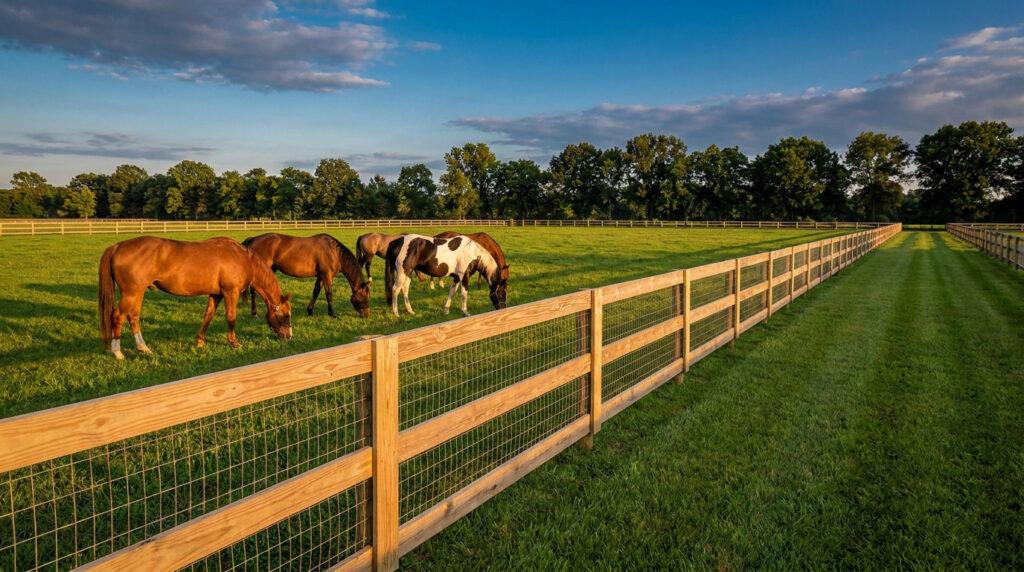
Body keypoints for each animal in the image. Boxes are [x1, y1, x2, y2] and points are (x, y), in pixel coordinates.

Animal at [98, 236, 292, 360]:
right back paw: (118, 353)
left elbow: (208, 316)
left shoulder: (216, 294)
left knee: (133, 317)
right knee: (118, 316)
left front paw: (199, 341)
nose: (289, 337)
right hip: (131, 293)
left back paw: (143, 348)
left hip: (138, 293)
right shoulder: (231, 292)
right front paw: (234, 343)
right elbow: (231, 317)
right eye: (286, 315)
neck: (243, 259)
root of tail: (118, 246)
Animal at [242, 233, 370, 318]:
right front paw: (332, 314)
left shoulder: (320, 276)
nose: (367, 315)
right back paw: (254, 314)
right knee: (253, 291)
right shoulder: (327, 275)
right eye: (365, 296)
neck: (334, 252)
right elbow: (329, 294)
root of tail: (253, 239)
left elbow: (316, 291)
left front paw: (310, 311)